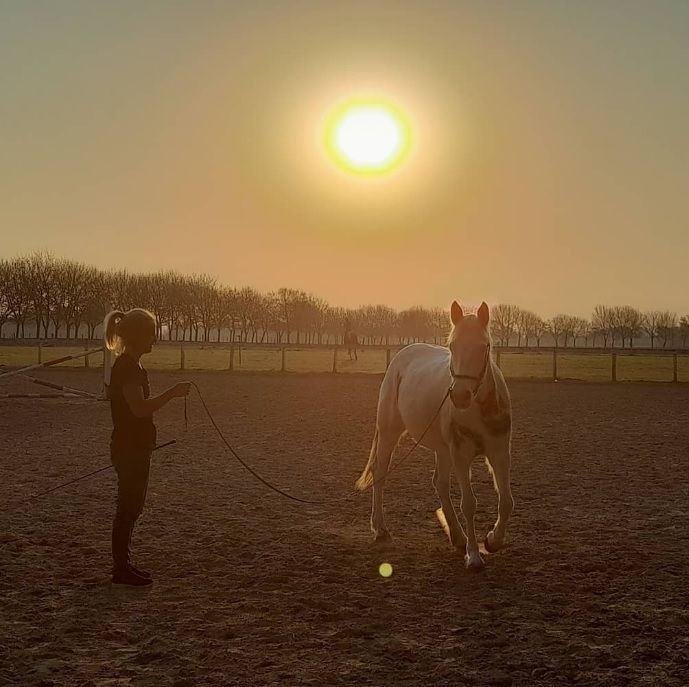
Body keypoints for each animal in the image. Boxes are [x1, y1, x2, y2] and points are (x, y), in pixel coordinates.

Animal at [358, 300, 512, 568]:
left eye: (483, 346)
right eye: (452, 345)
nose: (460, 395)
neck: (480, 410)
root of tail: (402, 356)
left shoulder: (499, 453)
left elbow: (506, 501)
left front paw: (493, 540)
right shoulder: (461, 456)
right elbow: (469, 503)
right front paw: (474, 556)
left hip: (442, 449)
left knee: (439, 483)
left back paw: (458, 537)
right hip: (389, 433)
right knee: (380, 473)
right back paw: (381, 530)